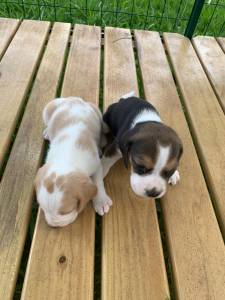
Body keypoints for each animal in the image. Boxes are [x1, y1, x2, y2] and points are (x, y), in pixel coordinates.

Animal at [34, 97, 112, 226]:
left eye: (66, 212)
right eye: (43, 209)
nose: (53, 224)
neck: (66, 158)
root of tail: (73, 98)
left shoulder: (96, 165)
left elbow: (98, 182)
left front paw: (101, 201)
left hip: (98, 112)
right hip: (48, 109)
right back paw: (47, 131)